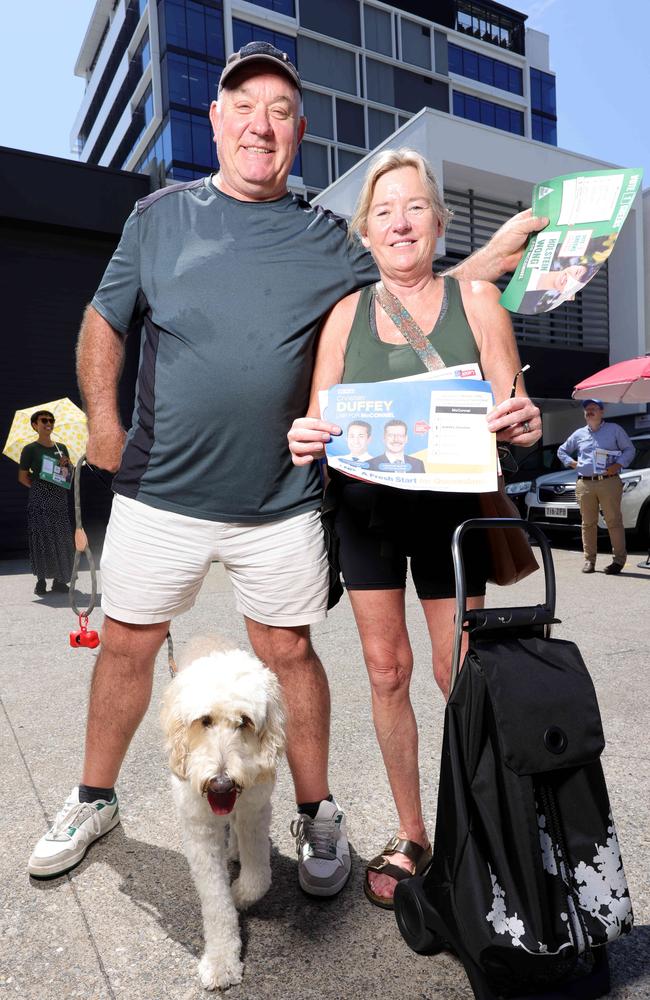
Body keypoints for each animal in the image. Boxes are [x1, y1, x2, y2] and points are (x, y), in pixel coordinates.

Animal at [159, 636, 284, 988]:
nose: (221, 783)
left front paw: (238, 893)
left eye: (245, 722)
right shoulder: (199, 828)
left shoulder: (255, 811)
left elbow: (258, 878)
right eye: (204, 721)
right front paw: (221, 961)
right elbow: (215, 900)